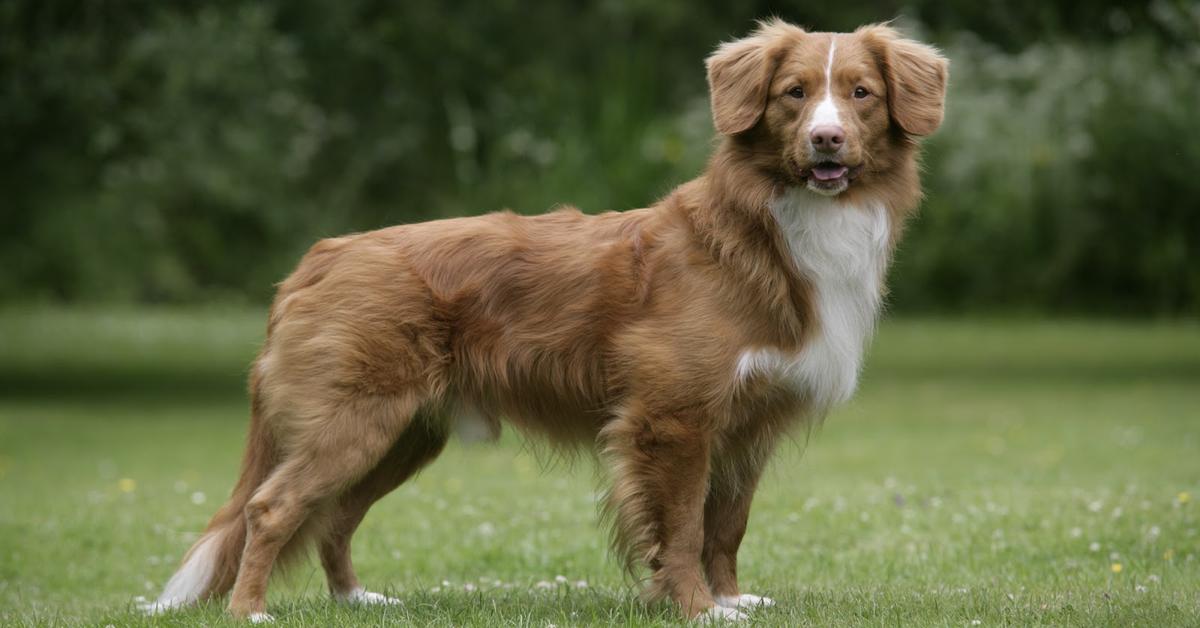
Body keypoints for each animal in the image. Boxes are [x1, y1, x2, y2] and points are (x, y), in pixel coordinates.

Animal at [145, 19, 945, 624]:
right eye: (793, 94)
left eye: (861, 94)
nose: (826, 140)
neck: (770, 232)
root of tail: (321, 256)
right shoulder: (673, 420)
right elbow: (683, 527)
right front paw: (695, 608)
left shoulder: (748, 426)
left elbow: (726, 526)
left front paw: (730, 598)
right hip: (355, 421)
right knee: (273, 508)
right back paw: (250, 610)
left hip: (405, 434)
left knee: (334, 517)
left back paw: (356, 600)